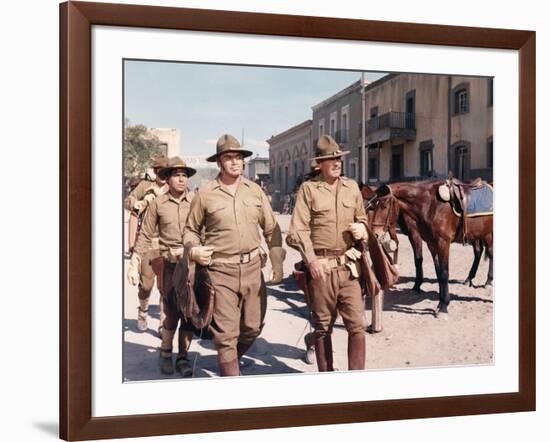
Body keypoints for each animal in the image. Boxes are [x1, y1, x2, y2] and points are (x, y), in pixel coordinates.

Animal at [366, 180, 496, 318]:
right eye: (373, 206)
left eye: (384, 206)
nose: (376, 234)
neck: (431, 205)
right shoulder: (432, 244)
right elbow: (438, 273)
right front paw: (440, 303)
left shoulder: (442, 242)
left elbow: (443, 273)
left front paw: (443, 307)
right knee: (482, 252)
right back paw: (473, 280)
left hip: (487, 234)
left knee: (488, 252)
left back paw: (487, 281)